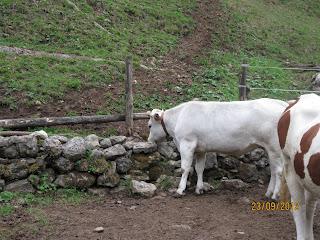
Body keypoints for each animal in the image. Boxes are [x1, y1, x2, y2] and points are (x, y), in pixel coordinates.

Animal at [148, 98, 288, 199]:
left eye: (149, 125)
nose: (149, 140)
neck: (179, 118)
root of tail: (280, 103)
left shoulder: (187, 144)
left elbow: (185, 168)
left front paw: (180, 190)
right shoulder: (201, 149)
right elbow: (199, 168)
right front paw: (199, 189)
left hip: (274, 148)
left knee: (279, 171)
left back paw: (275, 196)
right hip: (268, 149)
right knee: (273, 170)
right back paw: (268, 193)